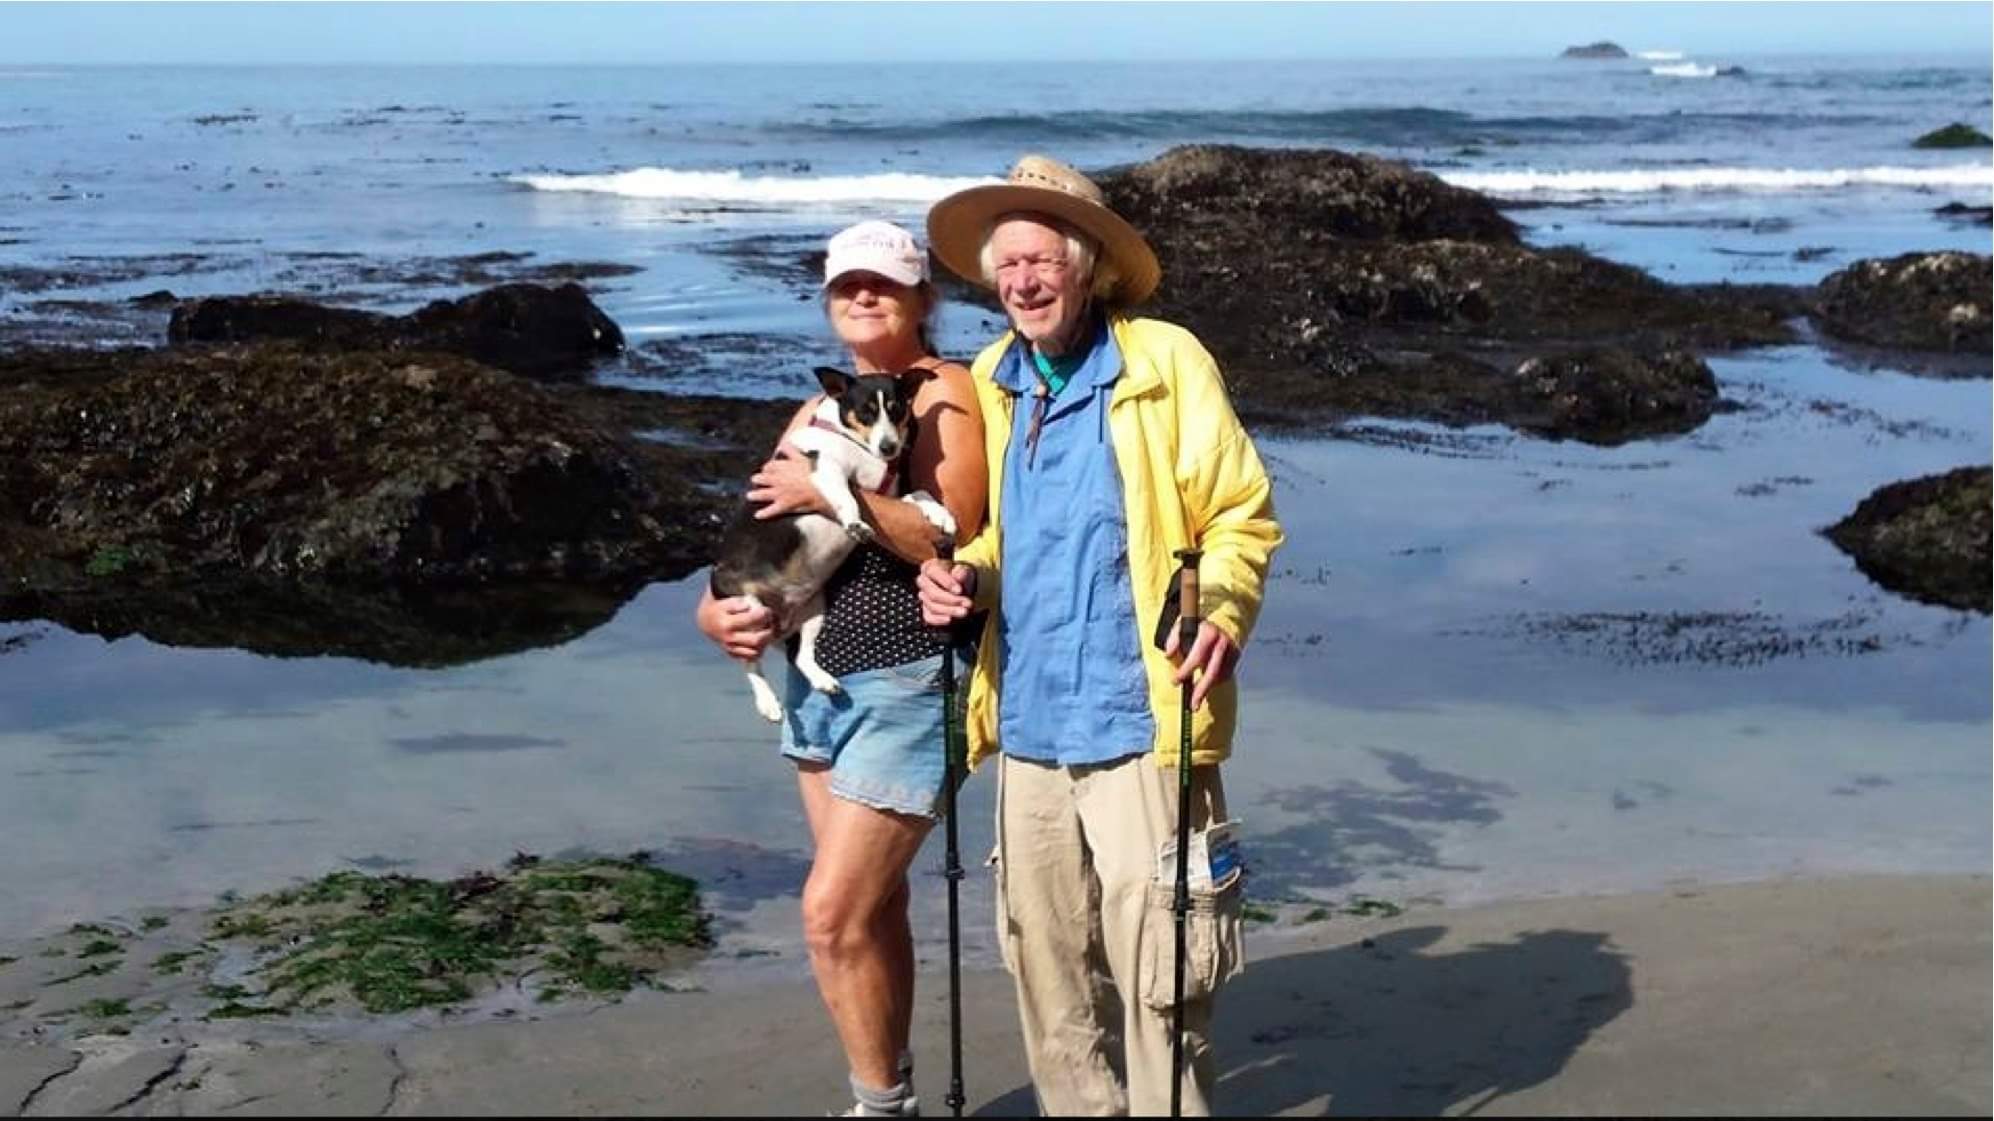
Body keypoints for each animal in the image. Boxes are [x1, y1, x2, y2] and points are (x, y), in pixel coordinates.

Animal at [709, 363, 957, 718]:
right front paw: (854, 523)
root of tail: (782, 620)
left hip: (815, 608)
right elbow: (845, 497)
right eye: (866, 412)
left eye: (897, 409)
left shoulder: (890, 495)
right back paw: (767, 702)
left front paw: (941, 514)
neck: (853, 441)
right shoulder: (827, 470)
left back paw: (823, 680)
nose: (889, 448)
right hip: (749, 610)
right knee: (750, 663)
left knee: (801, 656)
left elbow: (921, 493)